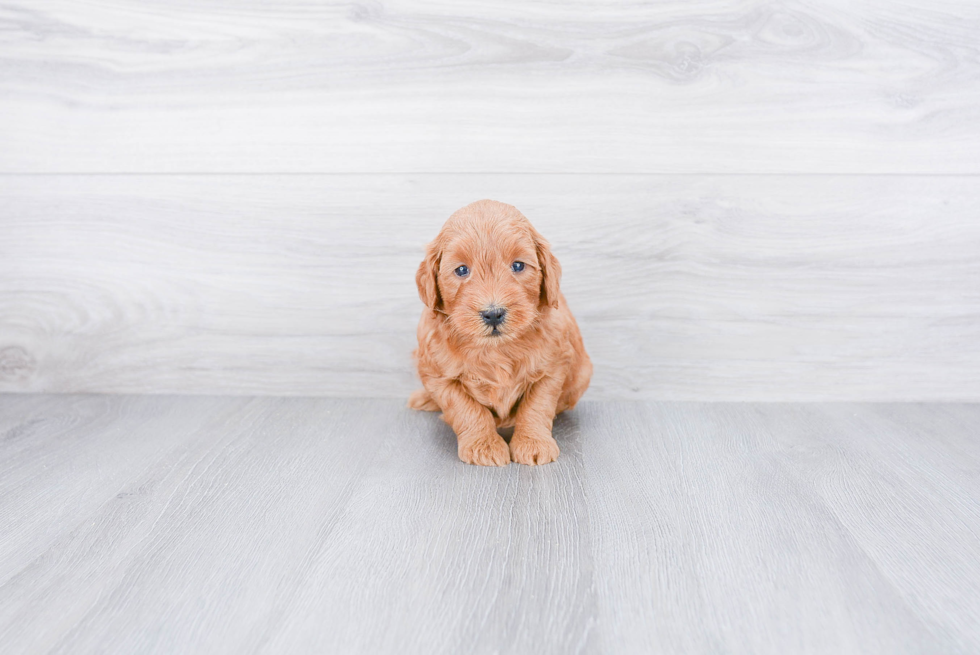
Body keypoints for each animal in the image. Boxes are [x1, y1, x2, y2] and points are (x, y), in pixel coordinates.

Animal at [406, 200, 588, 466]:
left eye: (518, 266)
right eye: (462, 270)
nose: (493, 313)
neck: (495, 349)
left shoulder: (554, 366)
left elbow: (536, 406)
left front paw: (533, 443)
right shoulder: (437, 374)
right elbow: (466, 409)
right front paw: (484, 446)